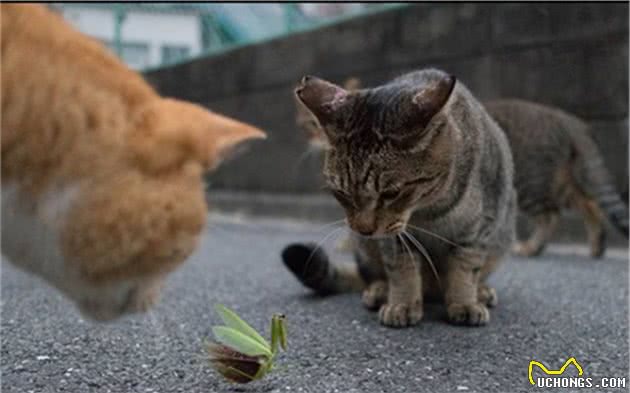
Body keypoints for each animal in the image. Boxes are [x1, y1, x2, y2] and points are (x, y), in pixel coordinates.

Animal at [284, 69, 516, 326]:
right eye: (341, 193)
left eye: (391, 193)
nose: (364, 229)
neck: (430, 211)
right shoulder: (394, 238)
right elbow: (402, 270)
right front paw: (402, 304)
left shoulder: (479, 227)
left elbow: (466, 268)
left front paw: (465, 302)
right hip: (365, 250)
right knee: (374, 276)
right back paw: (380, 291)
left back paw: (481, 292)